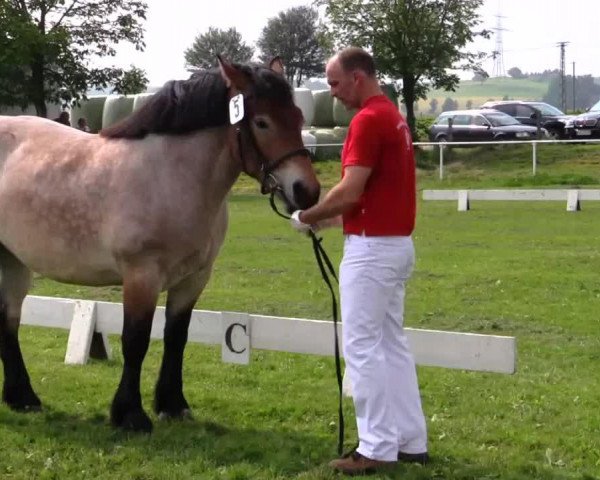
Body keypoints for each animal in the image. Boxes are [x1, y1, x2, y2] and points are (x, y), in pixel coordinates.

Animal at [0, 55, 322, 432]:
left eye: (298, 117)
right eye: (262, 122)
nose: (306, 190)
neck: (171, 174)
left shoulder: (194, 278)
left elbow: (175, 337)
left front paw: (172, 404)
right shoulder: (142, 275)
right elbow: (136, 340)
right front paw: (130, 415)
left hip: (14, 261)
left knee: (9, 320)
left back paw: (23, 398)